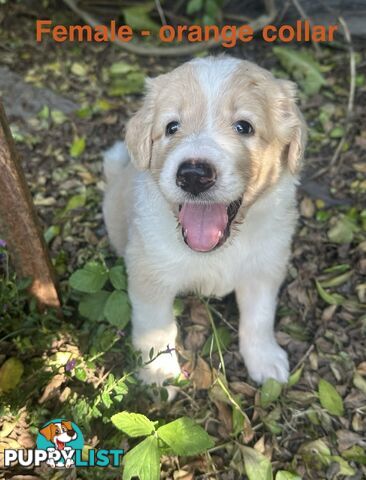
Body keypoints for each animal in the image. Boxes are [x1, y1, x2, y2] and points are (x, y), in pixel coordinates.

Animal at [103, 54, 306, 388]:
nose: (194, 175)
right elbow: (155, 328)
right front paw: (159, 373)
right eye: (172, 127)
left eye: (244, 127)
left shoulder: (265, 266)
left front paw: (265, 360)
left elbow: (259, 317)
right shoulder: (149, 271)